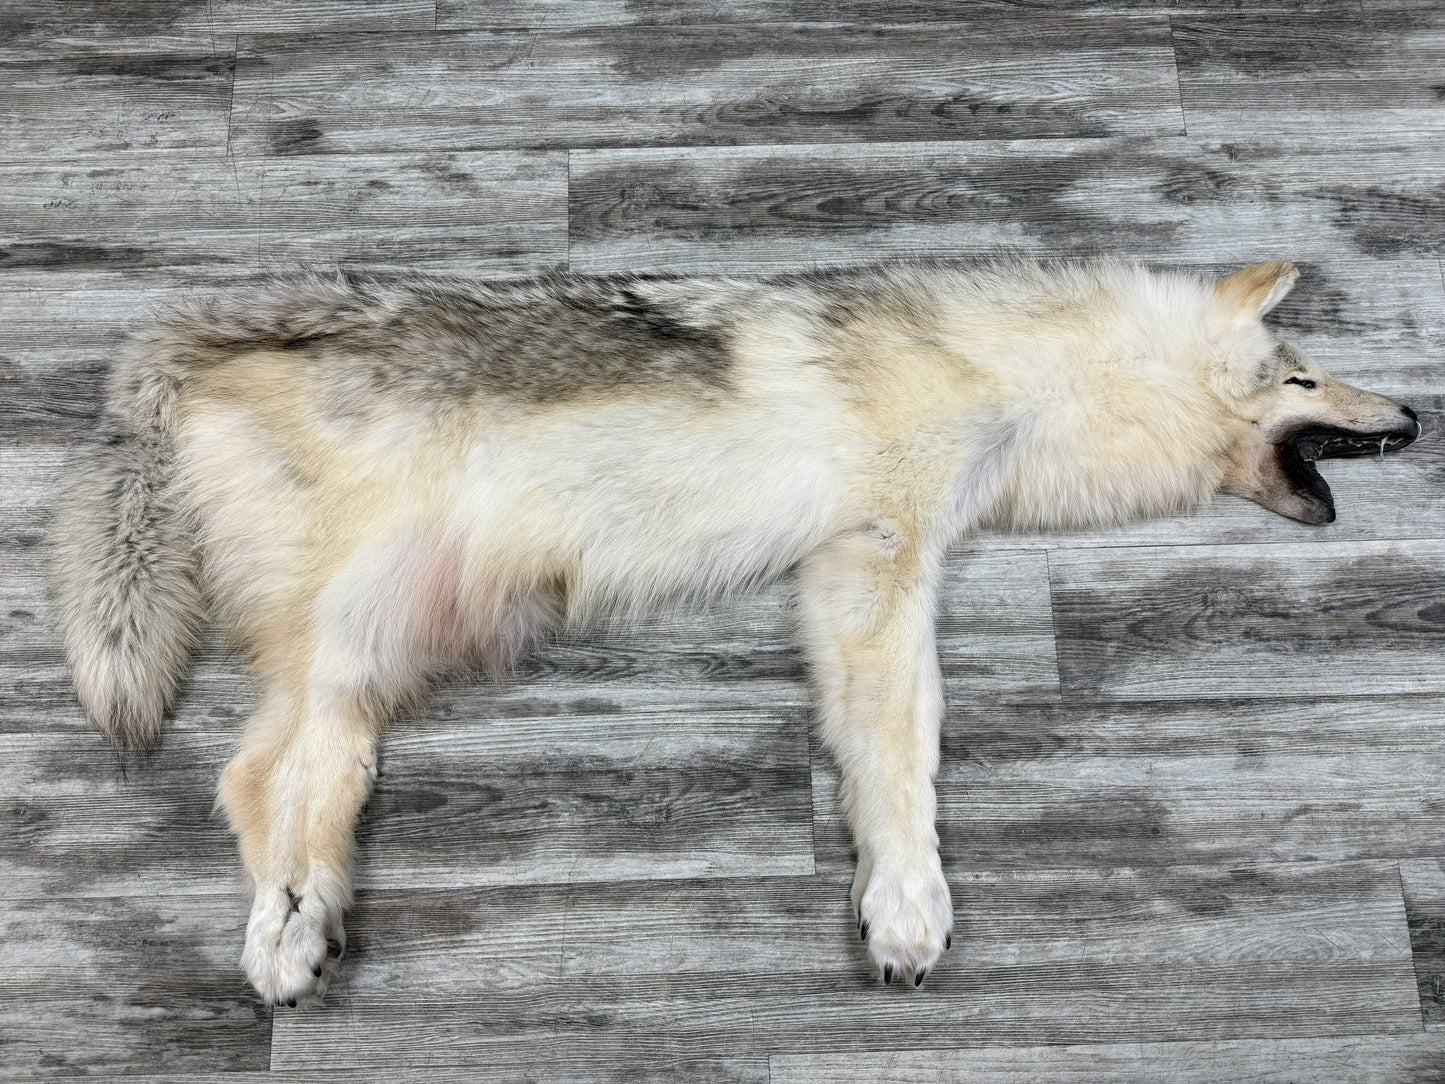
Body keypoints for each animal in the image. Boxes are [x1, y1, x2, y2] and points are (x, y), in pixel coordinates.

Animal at [51, 257, 1419, 1004]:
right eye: (1300, 374)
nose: (1412, 413)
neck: (1023, 381)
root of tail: (188, 344)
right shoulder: (884, 558)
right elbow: (905, 757)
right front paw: (907, 904)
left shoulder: (847, 568)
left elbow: (875, 754)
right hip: (357, 631)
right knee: (251, 777)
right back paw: (285, 931)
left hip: (375, 660)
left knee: (282, 779)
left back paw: (304, 922)